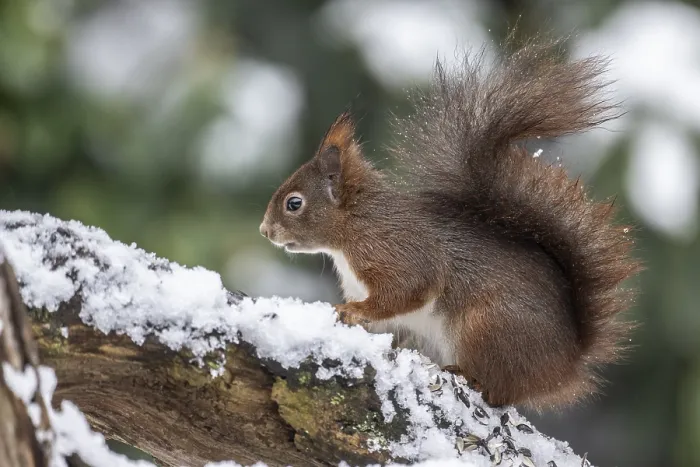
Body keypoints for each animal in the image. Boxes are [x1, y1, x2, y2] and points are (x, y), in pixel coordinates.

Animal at [259, 35, 641, 410]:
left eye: (294, 204)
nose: (265, 231)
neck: (356, 225)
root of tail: (564, 366)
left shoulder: (397, 251)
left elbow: (408, 290)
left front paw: (354, 310)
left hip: (486, 328)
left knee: (500, 391)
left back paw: (471, 377)